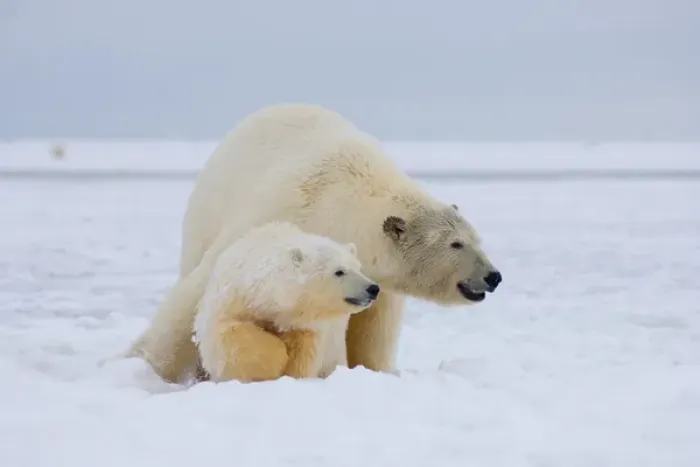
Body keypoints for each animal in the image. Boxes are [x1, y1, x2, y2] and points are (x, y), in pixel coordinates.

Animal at [192, 221, 380, 383]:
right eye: (339, 271)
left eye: (358, 268)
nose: (373, 288)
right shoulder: (230, 301)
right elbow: (231, 336)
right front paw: (276, 360)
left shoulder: (304, 328)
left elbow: (301, 360)